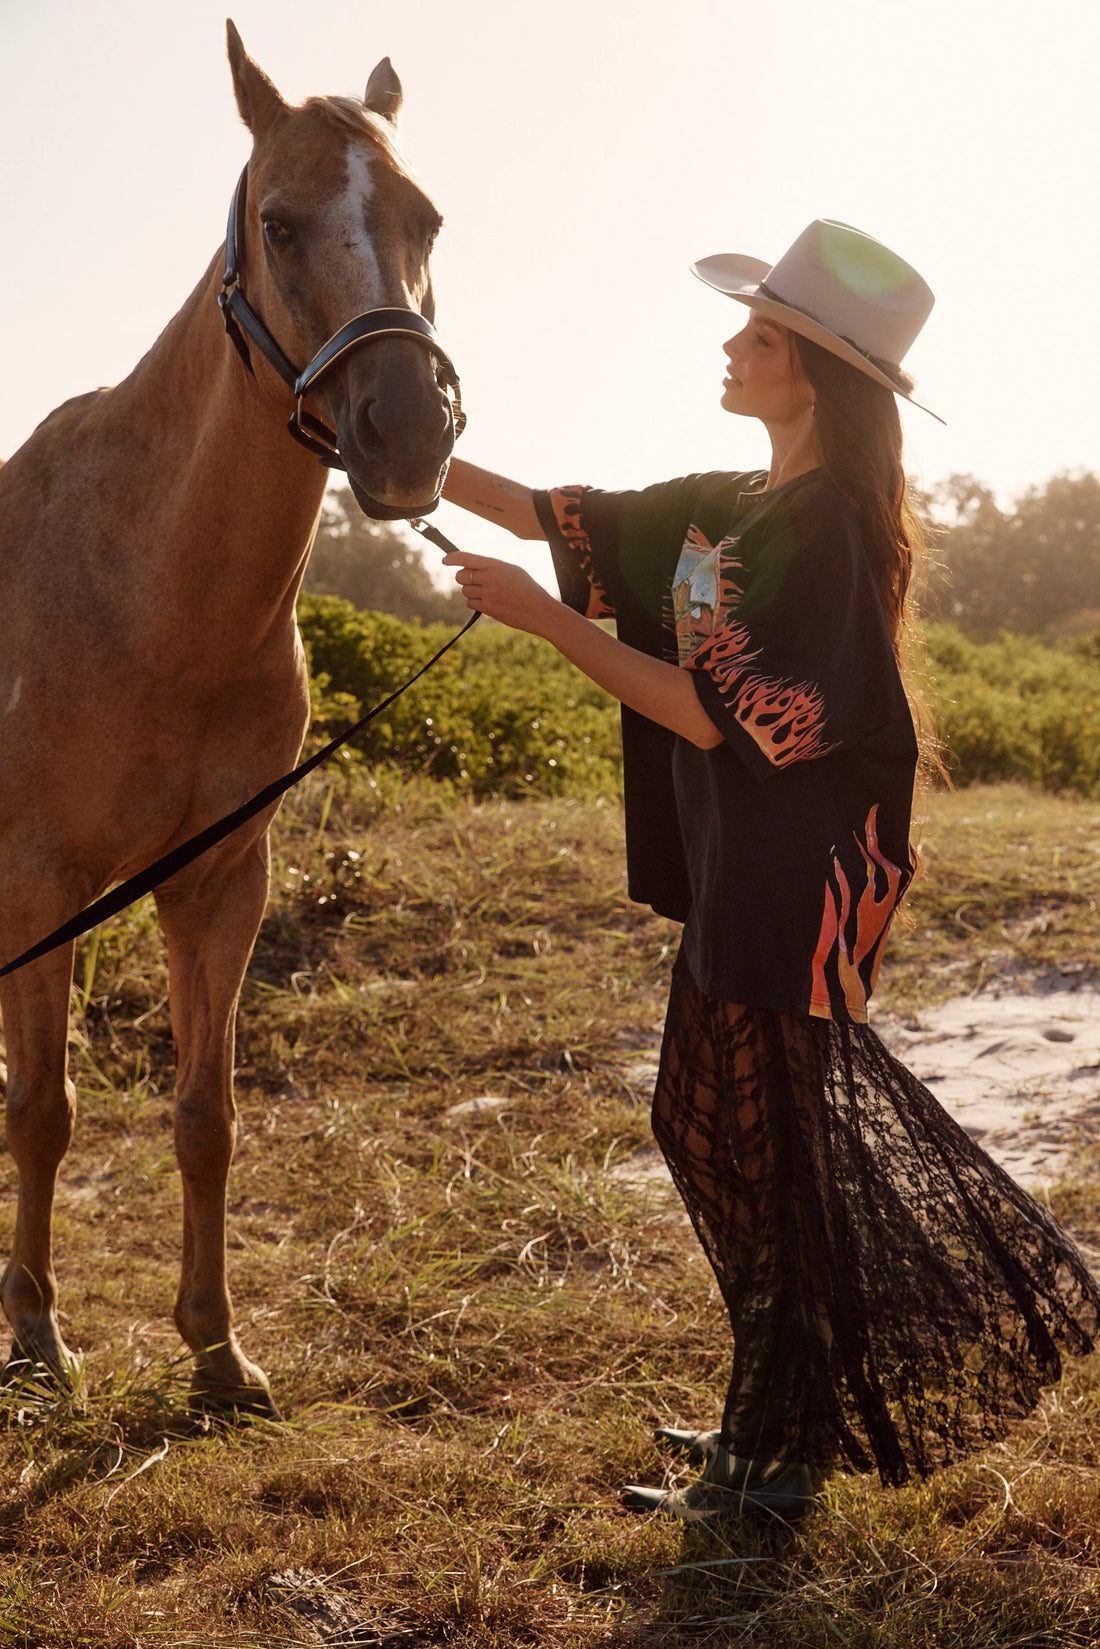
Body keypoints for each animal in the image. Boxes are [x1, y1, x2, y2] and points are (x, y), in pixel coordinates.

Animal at [0, 22, 461, 1418]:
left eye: (426, 216)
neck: (146, 582)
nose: (406, 429)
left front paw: (215, 1348)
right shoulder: (42, 879)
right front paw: (36, 1333)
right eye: (278, 219)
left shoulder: (220, 876)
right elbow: (43, 1108)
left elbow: (208, 1114)